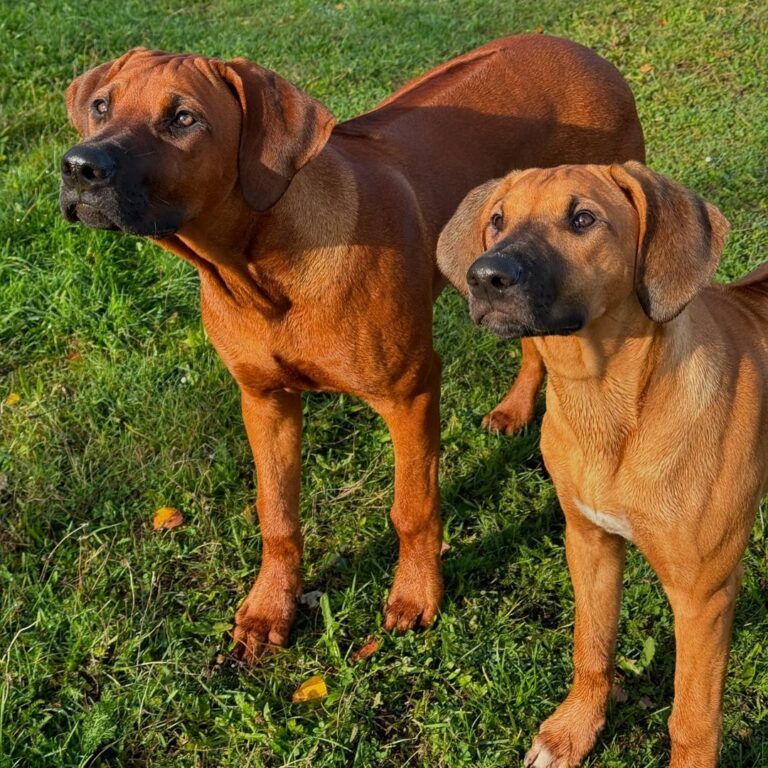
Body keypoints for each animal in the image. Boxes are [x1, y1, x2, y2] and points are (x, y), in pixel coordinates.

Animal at [438, 159, 768, 764]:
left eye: (583, 219)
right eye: (497, 220)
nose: (486, 276)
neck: (607, 403)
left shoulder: (702, 596)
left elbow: (691, 717)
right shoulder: (587, 540)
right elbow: (590, 646)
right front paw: (573, 731)